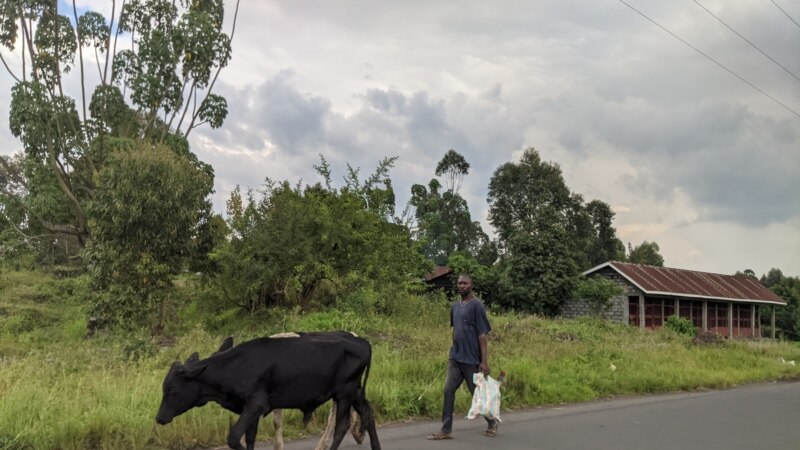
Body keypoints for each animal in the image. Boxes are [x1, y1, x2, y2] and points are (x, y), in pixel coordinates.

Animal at [159, 330, 382, 450]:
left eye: (171, 390)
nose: (159, 418)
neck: (236, 367)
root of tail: (362, 341)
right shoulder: (250, 410)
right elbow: (249, 438)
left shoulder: (256, 405)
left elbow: (234, 437)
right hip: (355, 391)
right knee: (367, 414)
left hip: (344, 392)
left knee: (342, 424)